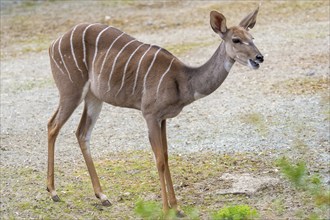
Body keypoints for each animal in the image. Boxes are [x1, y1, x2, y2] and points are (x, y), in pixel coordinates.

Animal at [46, 6, 262, 215]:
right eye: (236, 39)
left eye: (252, 38)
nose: (259, 57)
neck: (183, 80)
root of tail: (53, 44)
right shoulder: (150, 114)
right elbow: (159, 160)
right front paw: (166, 210)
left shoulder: (164, 118)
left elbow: (166, 156)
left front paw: (177, 208)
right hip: (71, 90)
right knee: (52, 125)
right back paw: (53, 192)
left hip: (94, 97)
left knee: (82, 133)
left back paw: (102, 196)